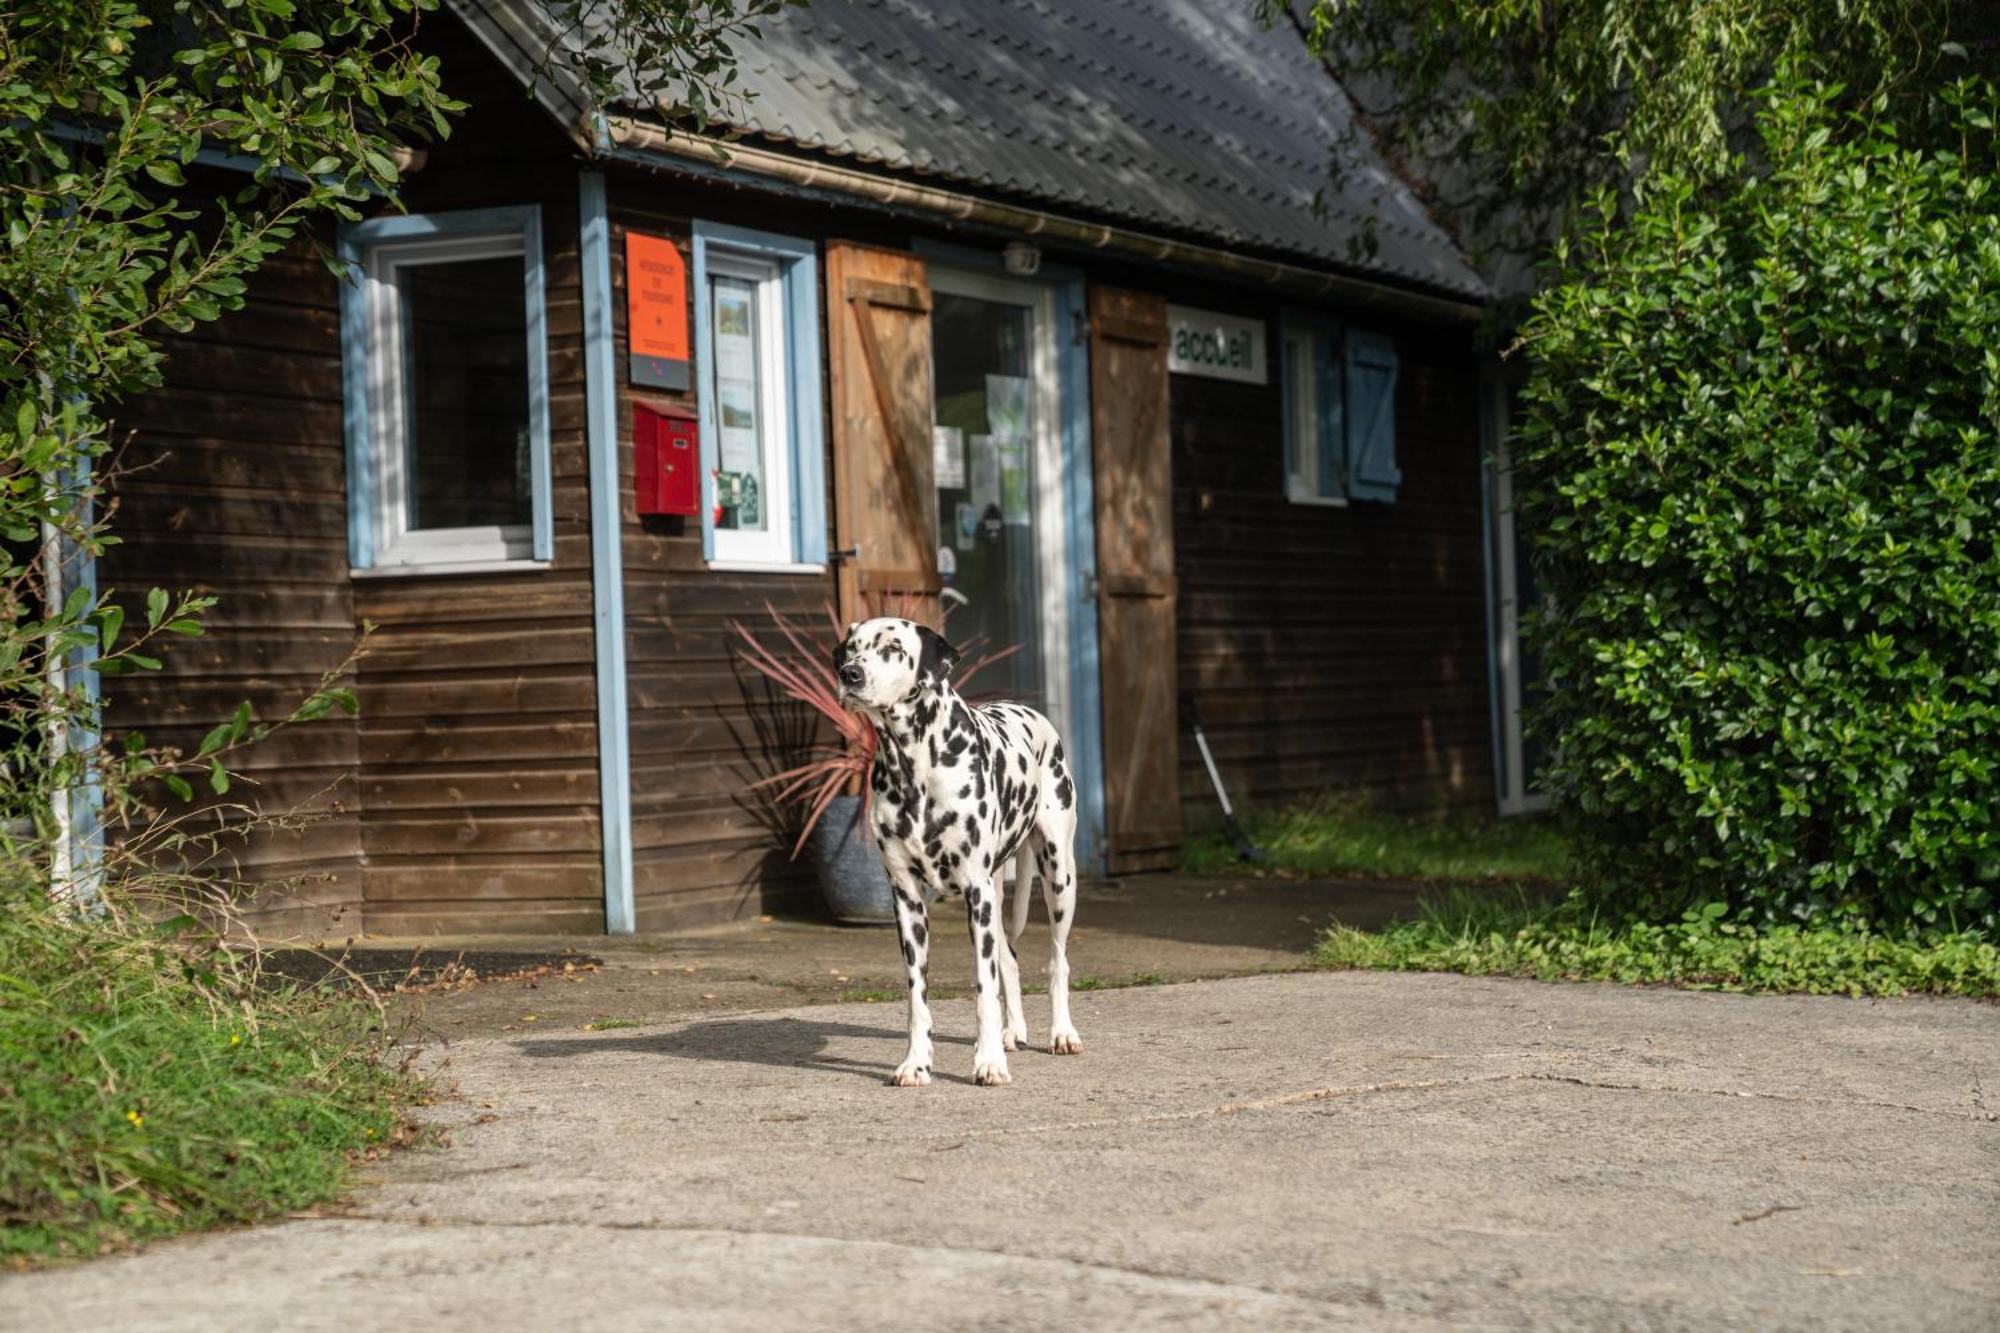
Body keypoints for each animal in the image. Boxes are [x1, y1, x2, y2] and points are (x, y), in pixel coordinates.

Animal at [836, 616, 1088, 1088]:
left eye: (894, 647)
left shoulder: (976, 893)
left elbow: (984, 990)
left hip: (1058, 876)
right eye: (852, 647)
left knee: (1057, 960)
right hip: (997, 891)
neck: (915, 767)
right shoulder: (907, 901)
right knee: (1009, 958)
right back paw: (1014, 1030)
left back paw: (1062, 1033)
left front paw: (988, 1062)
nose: (850, 674)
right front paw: (916, 1062)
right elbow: (917, 998)